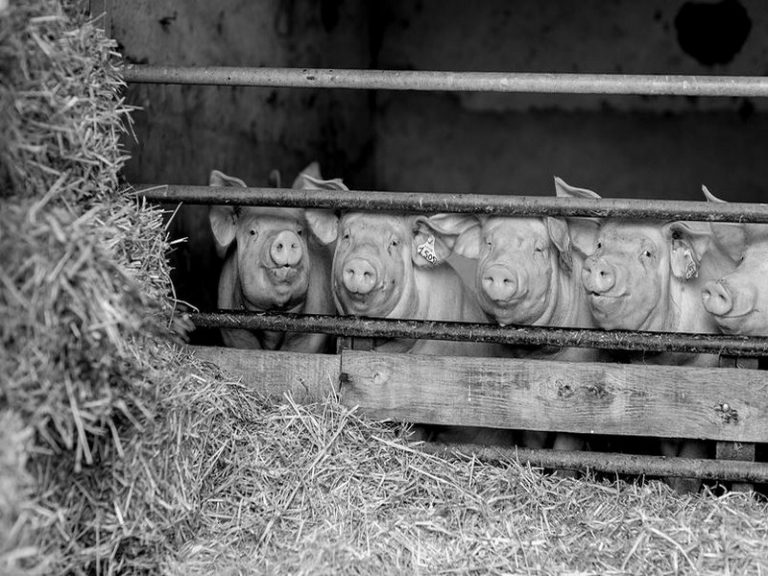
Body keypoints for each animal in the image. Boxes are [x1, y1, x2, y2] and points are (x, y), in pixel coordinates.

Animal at [556, 178, 736, 492]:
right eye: (600, 244)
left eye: (648, 254)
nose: (598, 263)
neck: (660, 359)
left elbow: (693, 452)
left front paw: (683, 491)